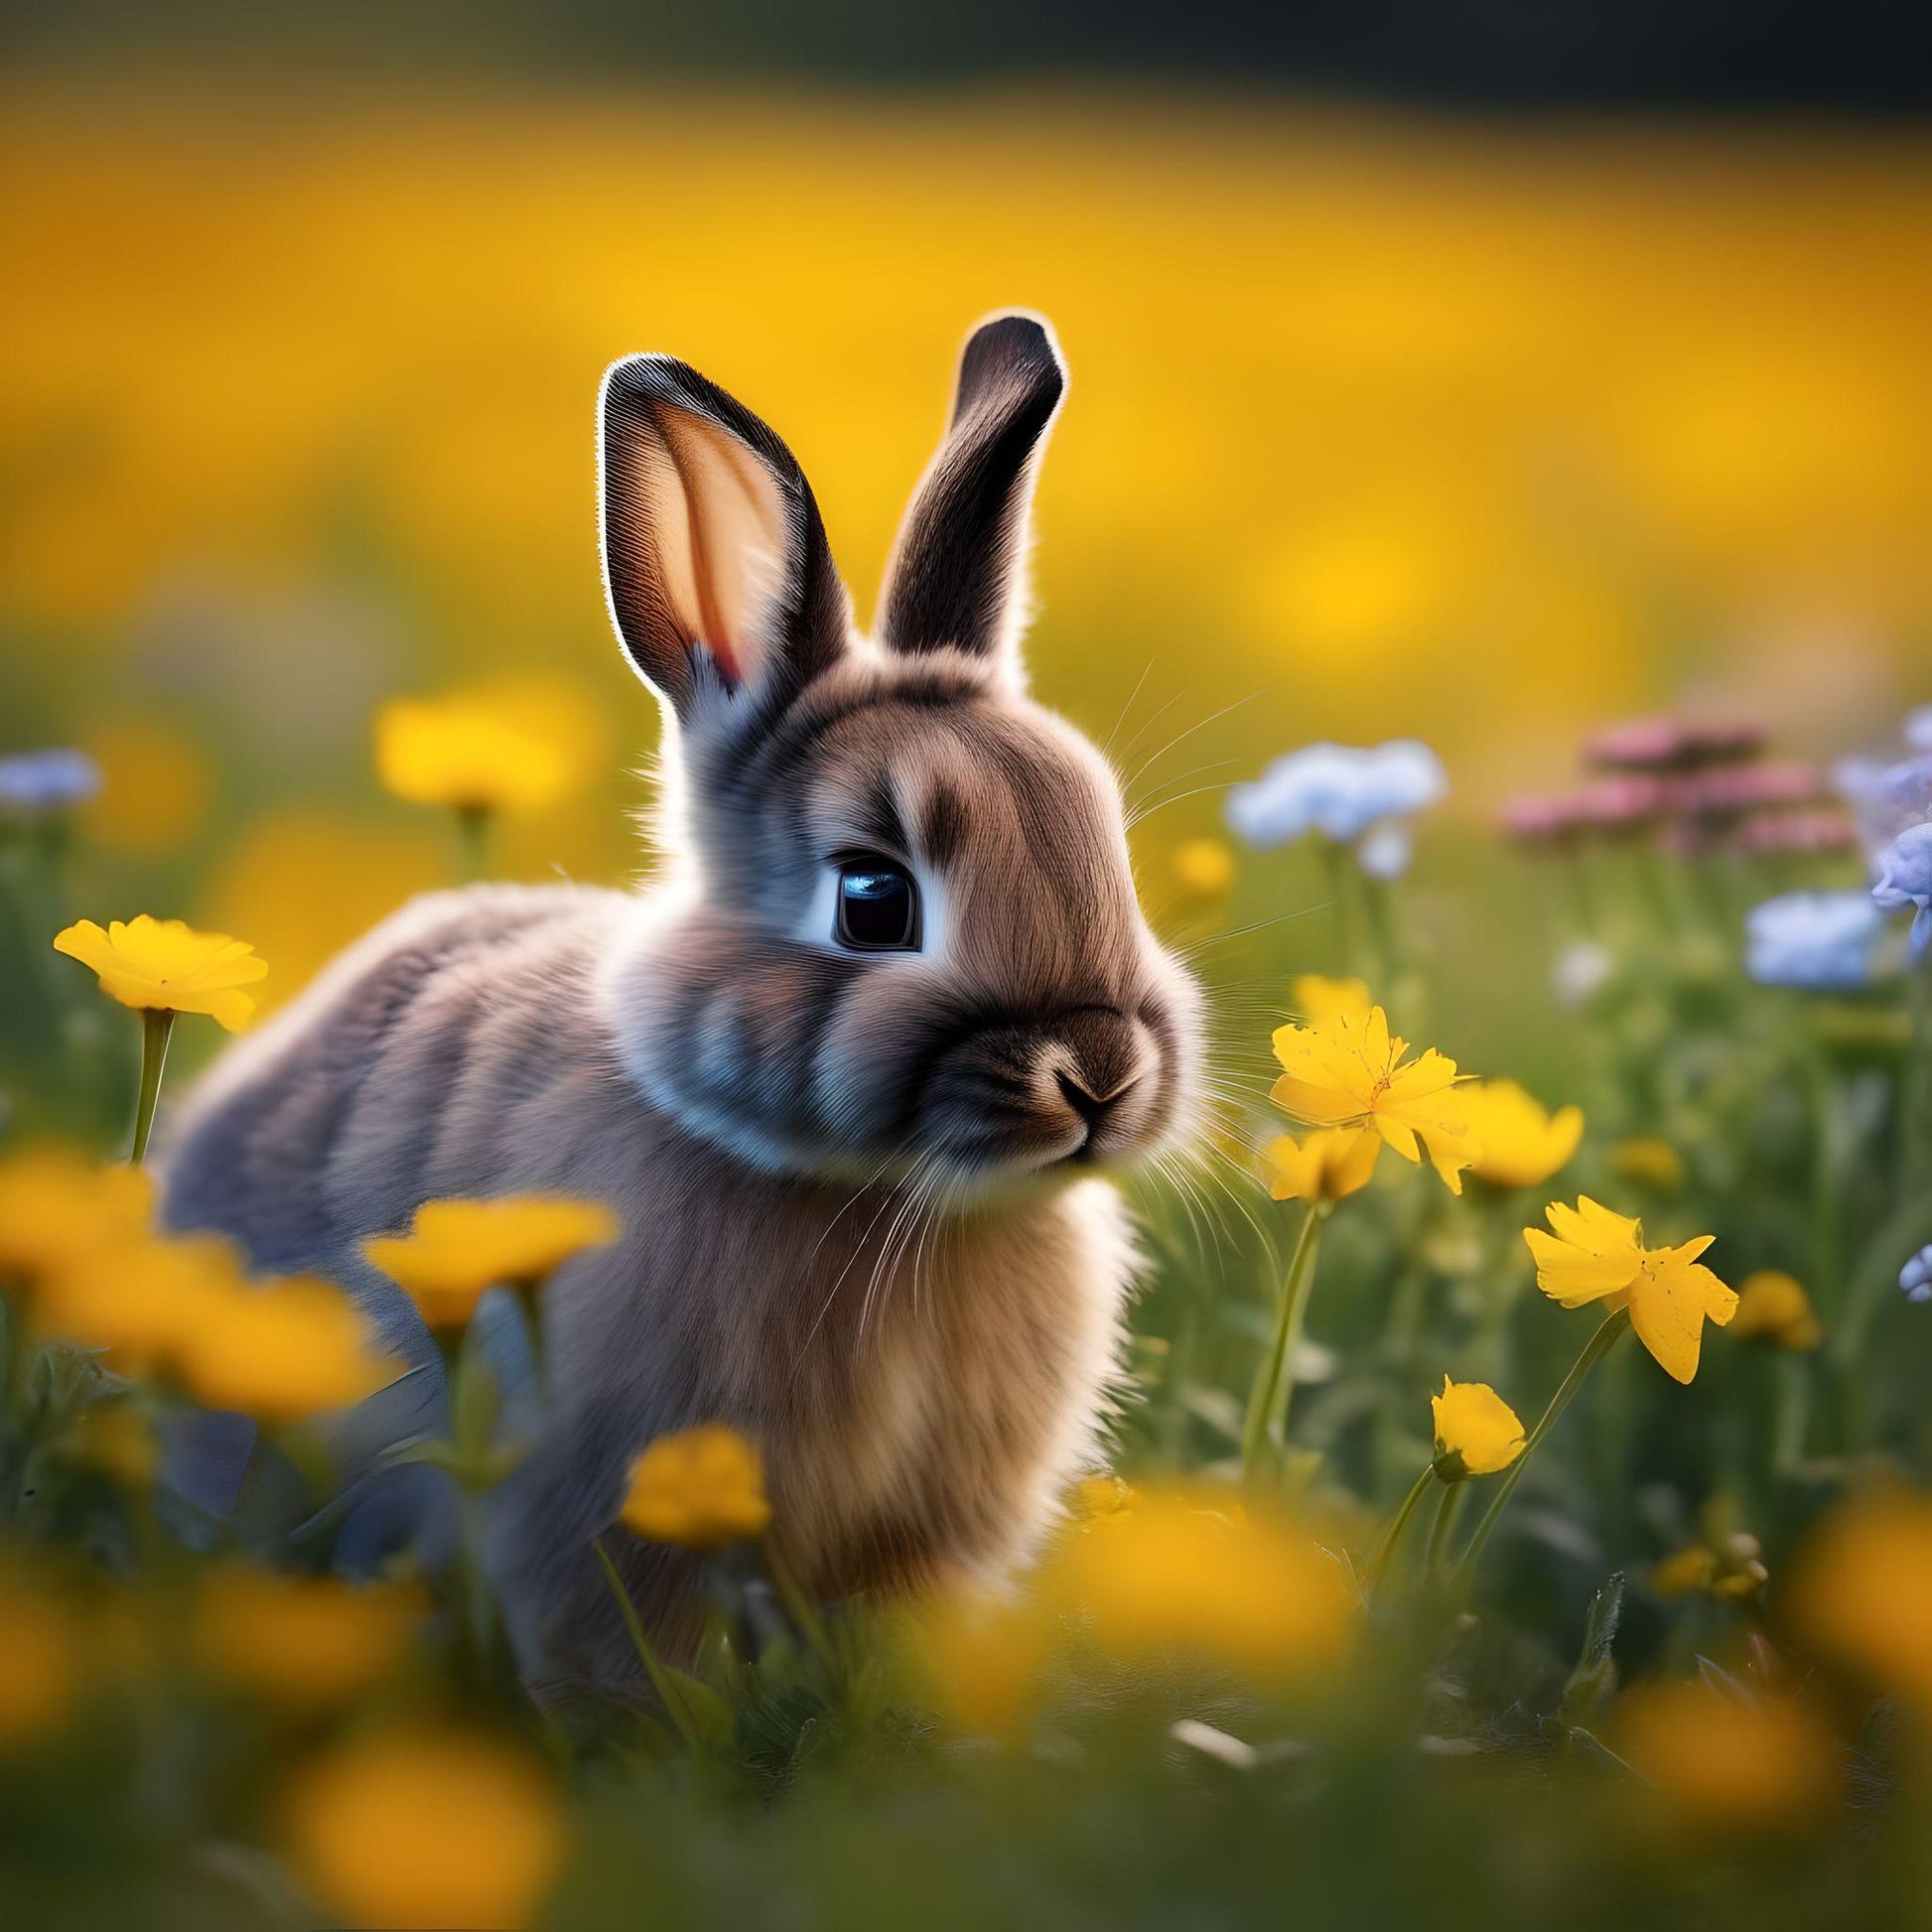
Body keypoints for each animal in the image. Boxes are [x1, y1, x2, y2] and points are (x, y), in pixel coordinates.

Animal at [160, 312, 1203, 1697]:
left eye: (1109, 853)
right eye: (872, 898)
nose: (1097, 1074)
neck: (869, 1195)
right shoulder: (600, 1510)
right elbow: (612, 1653)